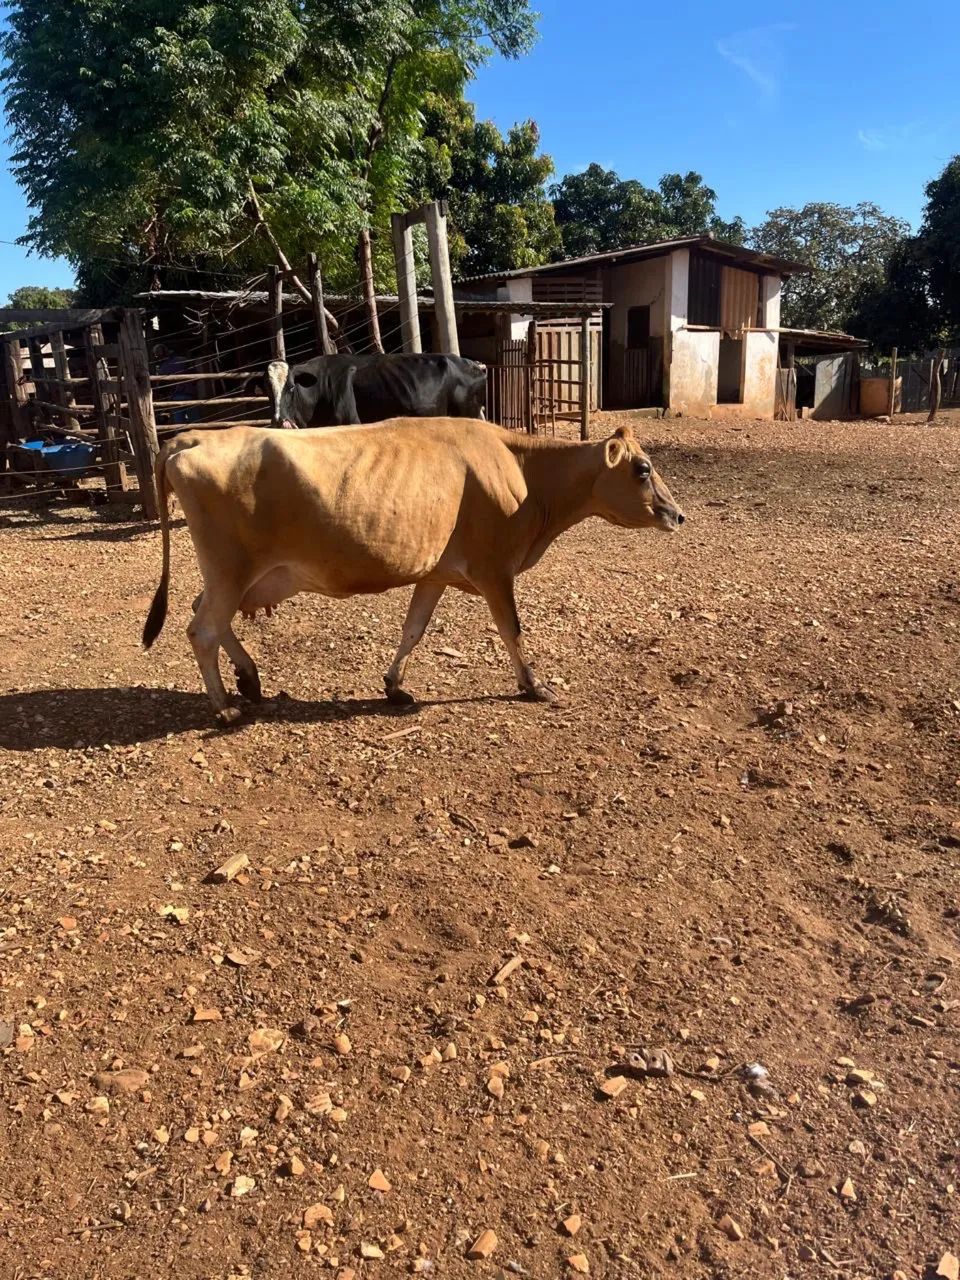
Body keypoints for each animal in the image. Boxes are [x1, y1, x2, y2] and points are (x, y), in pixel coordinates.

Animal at [141, 419, 684, 725]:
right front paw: (533, 685)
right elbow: (512, 629)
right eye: (642, 469)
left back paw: (249, 678)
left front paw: (394, 685)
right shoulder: (494, 568)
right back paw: (224, 708)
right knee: (202, 628)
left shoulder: (435, 572)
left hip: (235, 576)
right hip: (230, 569)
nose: (677, 515)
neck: (524, 473)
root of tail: (189, 439)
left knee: (205, 616)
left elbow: (414, 628)